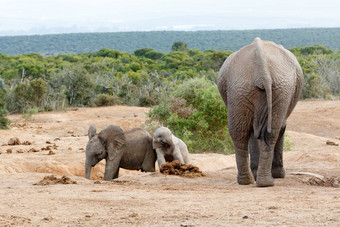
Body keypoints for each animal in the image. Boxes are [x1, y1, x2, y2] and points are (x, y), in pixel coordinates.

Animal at [218, 37, 302, 186]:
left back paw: (250, 181)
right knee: (269, 131)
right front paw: (278, 174)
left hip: (241, 89)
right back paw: (264, 181)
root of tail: (263, 73)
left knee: (240, 131)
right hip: (277, 89)